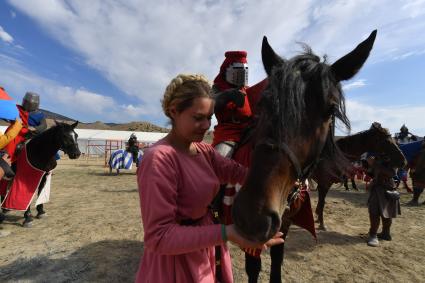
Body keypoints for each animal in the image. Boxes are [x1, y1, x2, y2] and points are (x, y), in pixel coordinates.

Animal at [230, 31, 376, 283]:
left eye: (330, 109)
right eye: (263, 103)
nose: (252, 217)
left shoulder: (283, 224)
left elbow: (277, 263)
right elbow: (253, 269)